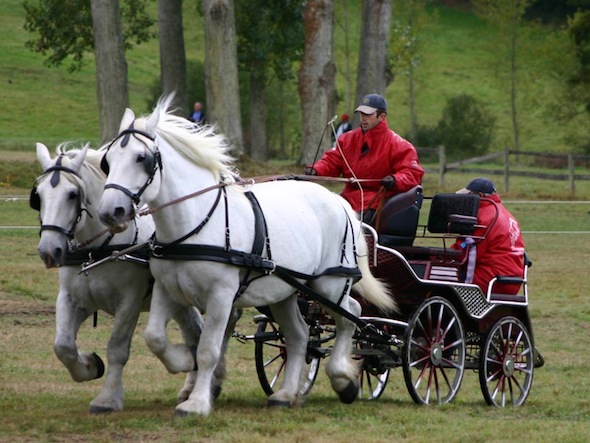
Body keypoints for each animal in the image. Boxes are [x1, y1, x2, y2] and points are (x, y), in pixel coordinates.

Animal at [32, 144, 209, 414]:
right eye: (38, 196)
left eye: (72, 194)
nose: (49, 251)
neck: (97, 249)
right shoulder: (71, 298)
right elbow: (63, 346)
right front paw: (90, 365)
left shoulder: (129, 302)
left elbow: (117, 348)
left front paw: (107, 399)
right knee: (194, 333)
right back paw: (191, 385)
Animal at [97, 96, 398, 416]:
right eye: (107, 161)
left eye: (142, 158)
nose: (110, 212)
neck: (196, 224)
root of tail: (338, 201)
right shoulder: (167, 290)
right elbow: (154, 337)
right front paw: (183, 361)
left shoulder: (221, 296)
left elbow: (208, 350)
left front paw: (197, 402)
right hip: (284, 291)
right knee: (299, 335)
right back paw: (285, 394)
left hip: (331, 283)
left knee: (350, 315)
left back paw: (343, 380)